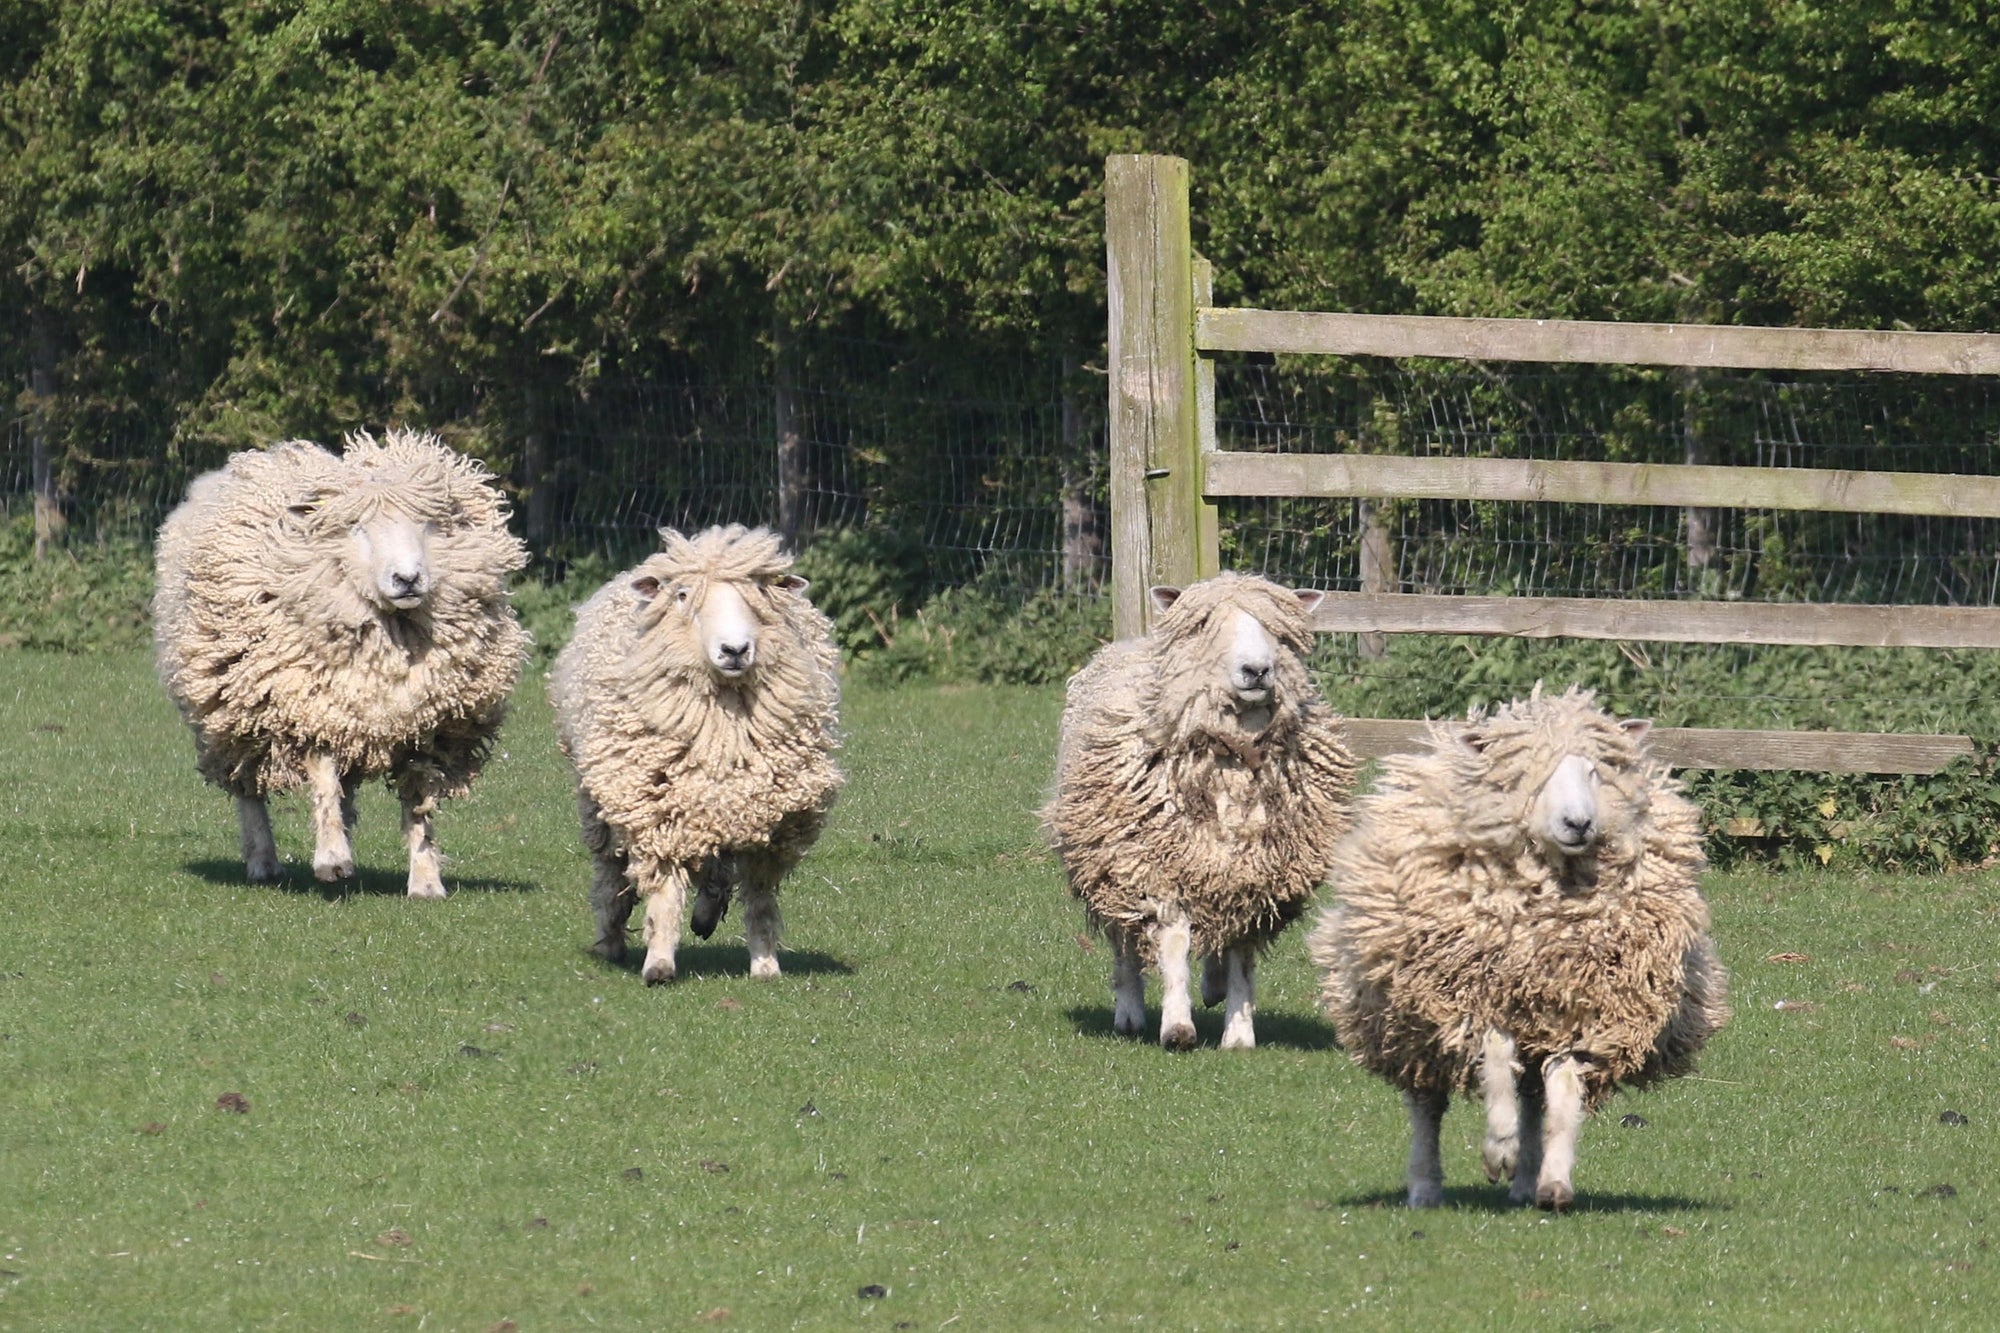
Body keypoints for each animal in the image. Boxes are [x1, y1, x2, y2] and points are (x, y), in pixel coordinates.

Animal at [150, 430, 532, 896]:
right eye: (357, 528)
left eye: (429, 525)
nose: (407, 579)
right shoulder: (311, 706)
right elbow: (323, 780)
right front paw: (332, 857)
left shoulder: (428, 723)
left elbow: (418, 800)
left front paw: (425, 880)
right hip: (233, 705)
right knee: (248, 784)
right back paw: (264, 860)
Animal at [548, 524, 844, 980]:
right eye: (683, 595)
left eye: (761, 589)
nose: (735, 650)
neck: (725, 728)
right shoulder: (656, 810)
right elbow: (665, 891)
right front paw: (659, 963)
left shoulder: (774, 821)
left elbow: (760, 898)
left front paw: (765, 964)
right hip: (602, 797)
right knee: (611, 871)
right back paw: (611, 938)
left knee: (718, 866)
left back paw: (706, 912)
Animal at [1048, 572, 1360, 1048]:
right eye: (1204, 625)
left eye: (1280, 632)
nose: (1257, 670)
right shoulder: (1157, 863)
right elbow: (1173, 941)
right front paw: (1177, 1026)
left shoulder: (1256, 873)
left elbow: (1241, 956)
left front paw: (1239, 1033)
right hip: (1107, 856)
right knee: (1124, 942)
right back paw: (1130, 1012)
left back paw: (1211, 986)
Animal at [1304, 684, 1728, 1200]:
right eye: (1530, 776)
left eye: (1594, 770)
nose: (1578, 823)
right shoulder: (1477, 996)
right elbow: (1495, 1062)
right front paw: (1498, 1149)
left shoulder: (1579, 1008)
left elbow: (1563, 1096)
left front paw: (1554, 1178)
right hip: (1407, 1019)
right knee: (1428, 1102)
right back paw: (1426, 1185)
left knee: (1533, 1098)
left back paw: (1527, 1181)